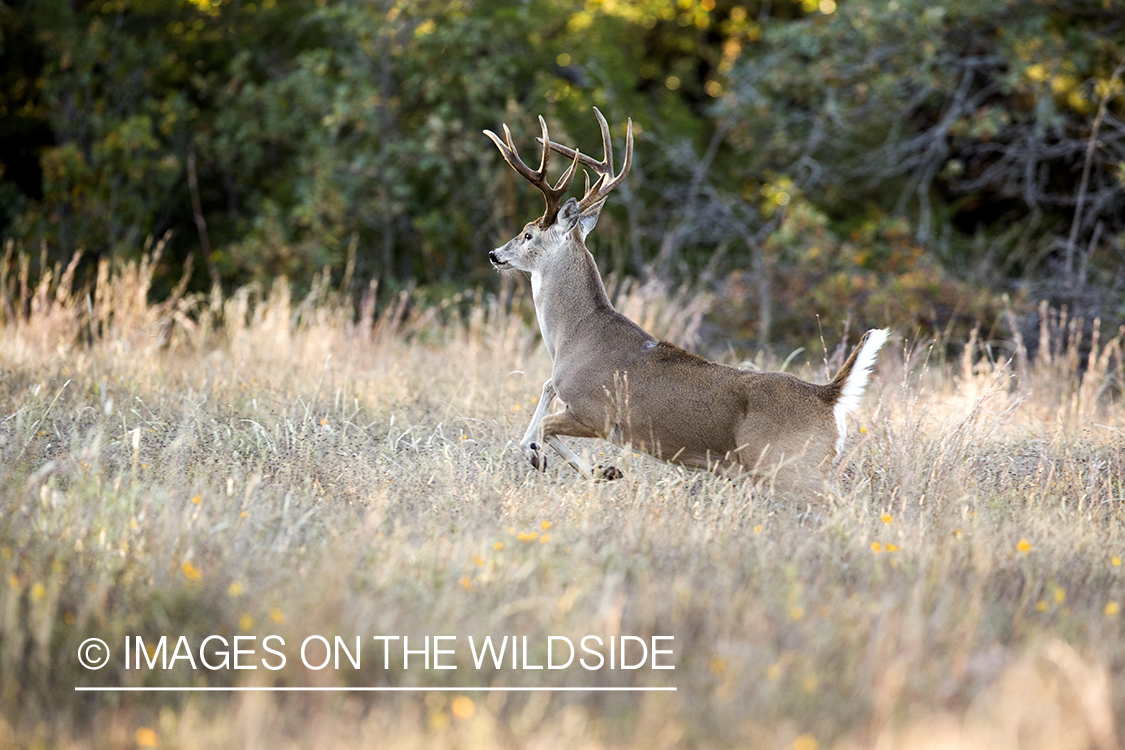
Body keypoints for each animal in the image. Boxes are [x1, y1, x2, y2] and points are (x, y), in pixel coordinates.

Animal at [483, 106, 886, 492]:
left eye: (528, 234)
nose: (494, 253)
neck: (574, 337)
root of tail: (828, 396)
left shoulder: (595, 411)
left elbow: (545, 427)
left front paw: (590, 467)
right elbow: (542, 399)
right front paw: (588, 466)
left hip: (789, 469)